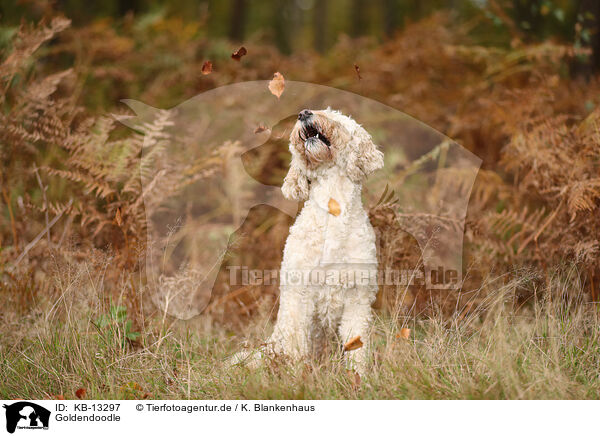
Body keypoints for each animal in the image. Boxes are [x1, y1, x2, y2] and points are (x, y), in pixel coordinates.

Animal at [232, 109, 382, 374]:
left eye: (335, 116)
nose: (304, 113)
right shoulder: (298, 295)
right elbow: (297, 344)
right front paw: (298, 375)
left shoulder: (358, 298)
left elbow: (356, 345)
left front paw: (358, 377)